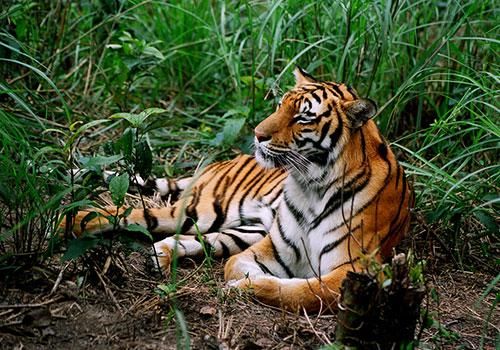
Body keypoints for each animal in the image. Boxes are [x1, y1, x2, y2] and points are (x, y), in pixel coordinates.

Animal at [70, 67, 414, 312]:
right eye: (280, 105)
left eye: (303, 117)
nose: (258, 134)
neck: (311, 186)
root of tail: (221, 162)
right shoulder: (272, 248)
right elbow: (237, 266)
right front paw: (245, 282)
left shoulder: (356, 269)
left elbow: (304, 292)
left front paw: (251, 288)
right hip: (206, 209)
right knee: (132, 214)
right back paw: (71, 223)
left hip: (243, 227)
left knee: (201, 239)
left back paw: (160, 255)